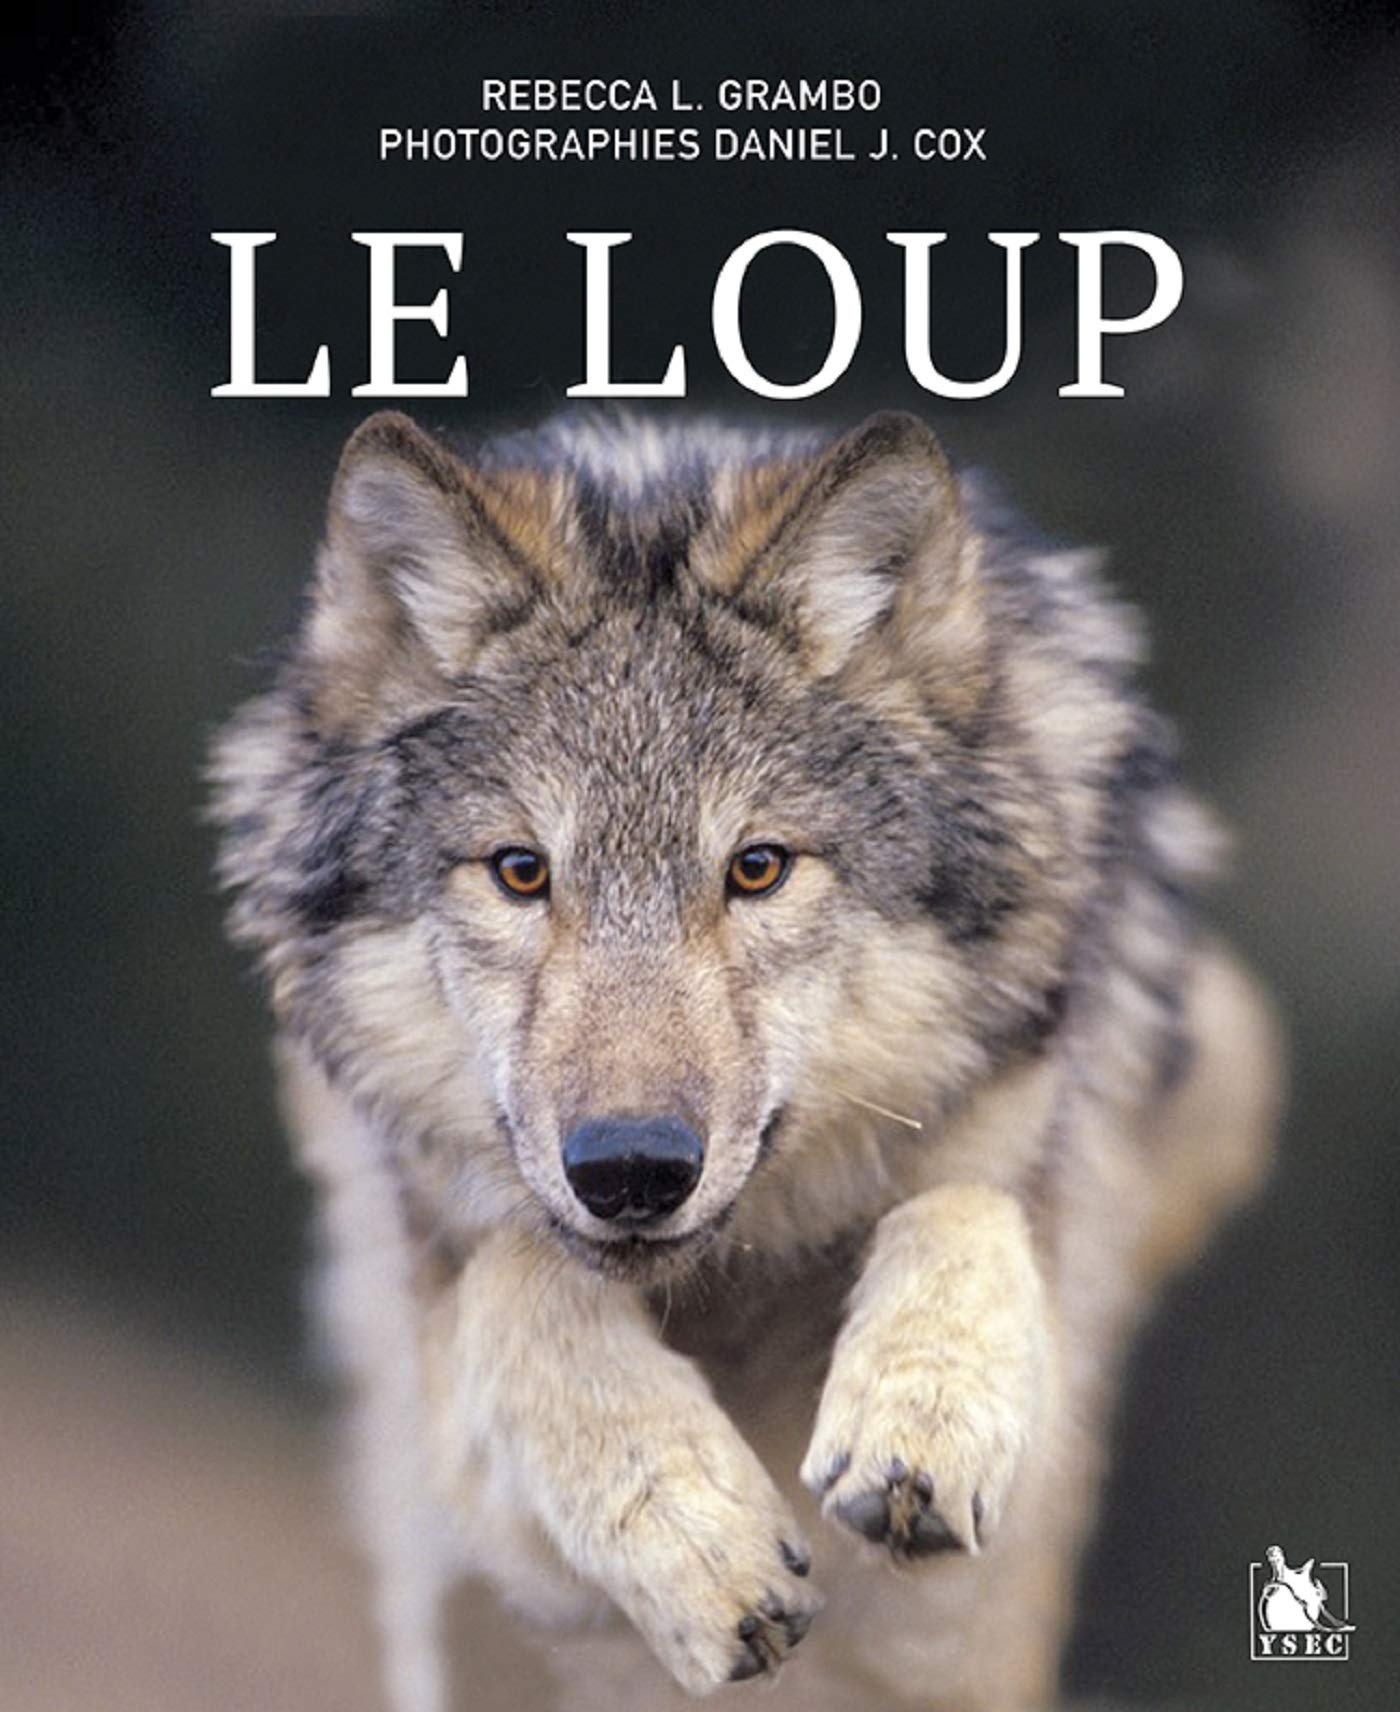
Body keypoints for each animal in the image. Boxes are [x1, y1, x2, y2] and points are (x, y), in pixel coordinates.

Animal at [210, 408, 1281, 1712]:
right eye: (520, 871)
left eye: (757, 867)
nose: (628, 1169)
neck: (721, 1286)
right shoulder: (498, 1530)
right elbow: (521, 1278)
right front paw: (695, 1535)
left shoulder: (976, 1572)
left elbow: (966, 1202)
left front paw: (922, 1410)